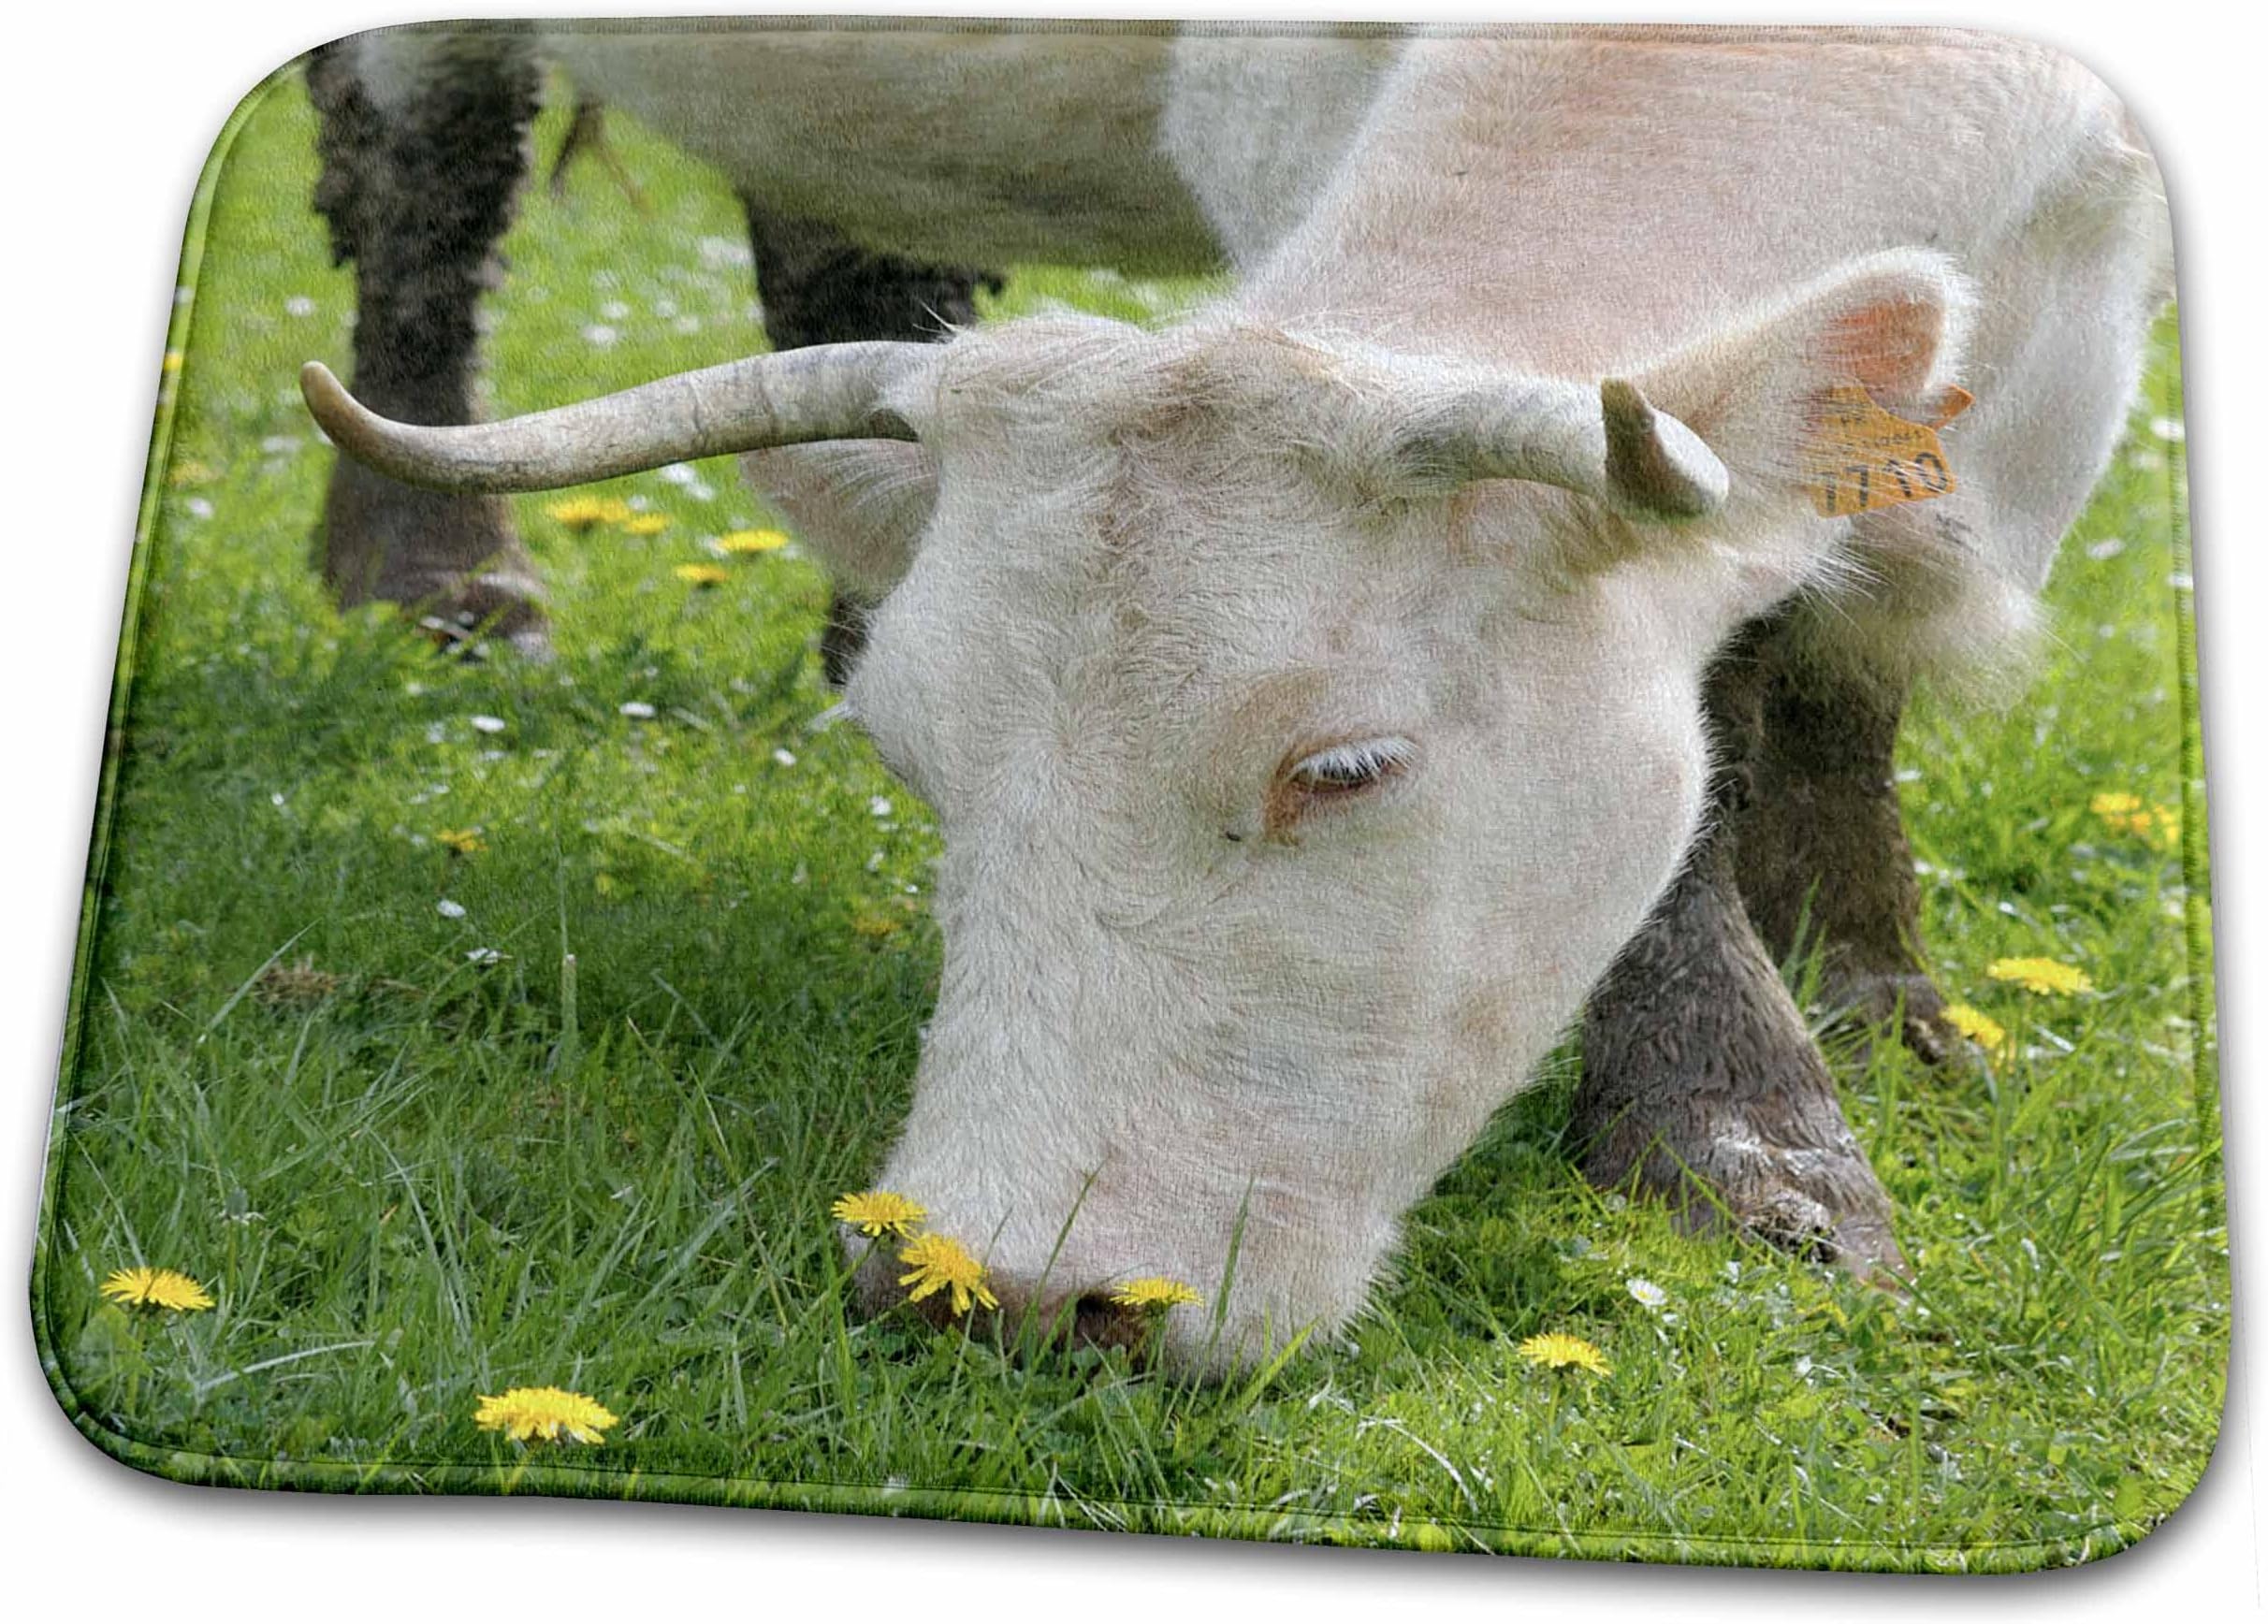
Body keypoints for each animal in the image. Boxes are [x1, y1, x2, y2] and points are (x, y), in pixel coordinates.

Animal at [303, 24, 2173, 1369]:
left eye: (1343, 765)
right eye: (919, 765)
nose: (991, 1288)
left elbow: (1838, 661)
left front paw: (1864, 1006)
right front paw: (1746, 1132)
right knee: (421, 164)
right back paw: (441, 576)